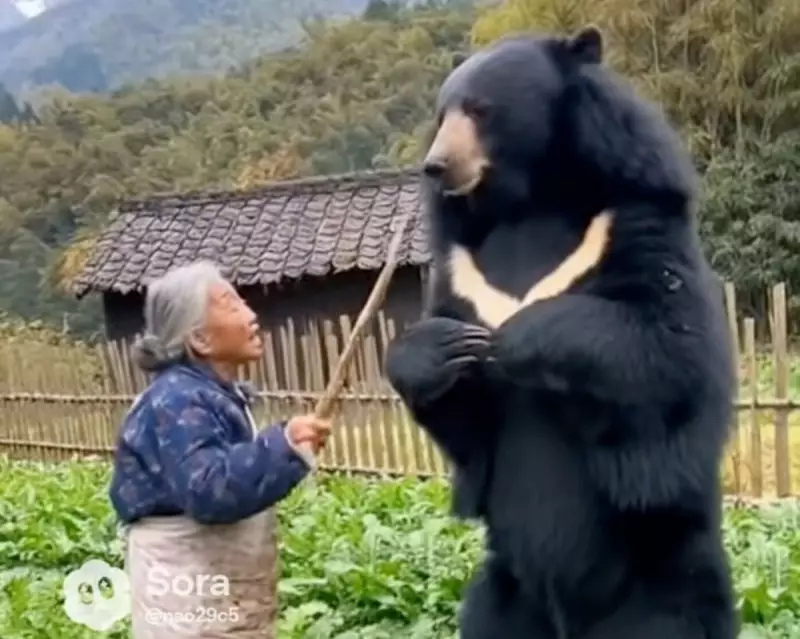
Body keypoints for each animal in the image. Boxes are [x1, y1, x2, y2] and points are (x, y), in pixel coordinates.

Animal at [384, 26, 739, 639]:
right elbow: (466, 421)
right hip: (503, 592)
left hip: (663, 581)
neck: (529, 201)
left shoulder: (635, 217)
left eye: (480, 109)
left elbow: (670, 351)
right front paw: (447, 348)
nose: (436, 166)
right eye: (441, 114)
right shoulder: (459, 265)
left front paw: (519, 336)